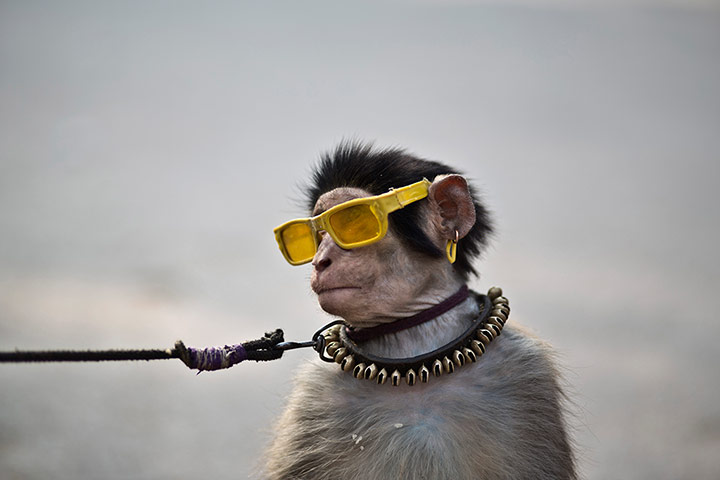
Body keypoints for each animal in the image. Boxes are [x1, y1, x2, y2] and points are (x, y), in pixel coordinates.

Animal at [262, 142, 576, 480]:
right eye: (316, 235)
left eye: (351, 220)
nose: (320, 261)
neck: (411, 348)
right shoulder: (314, 398)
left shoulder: (526, 377)